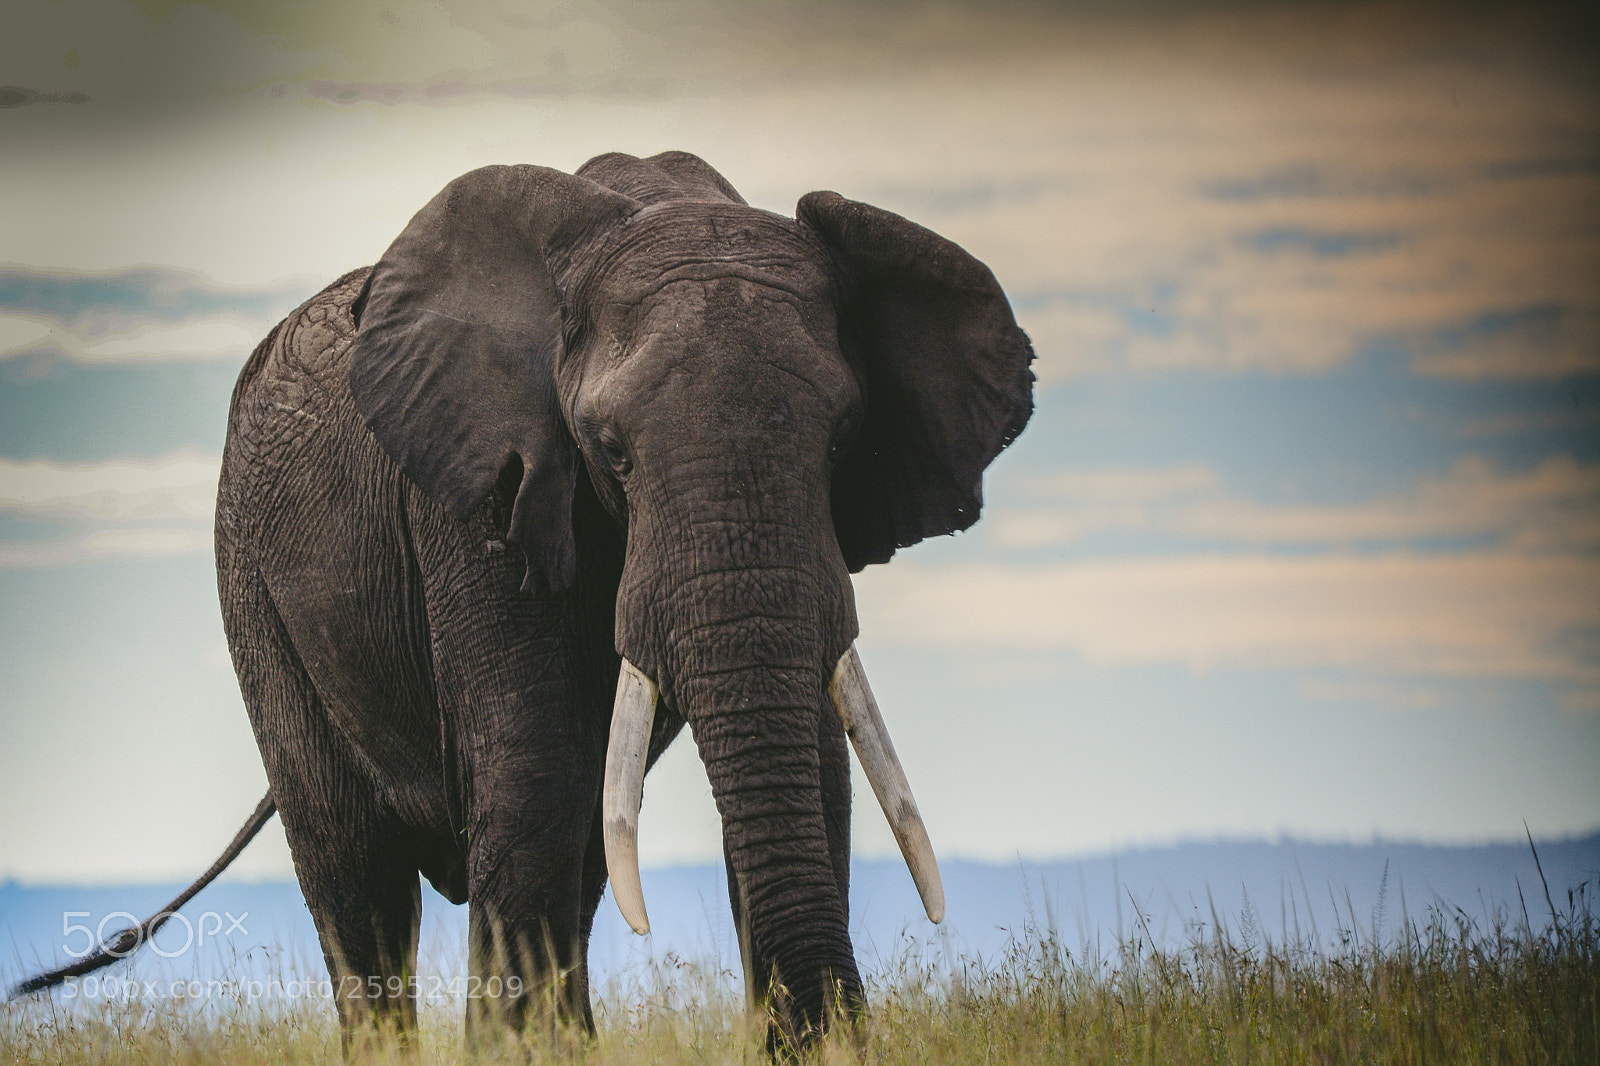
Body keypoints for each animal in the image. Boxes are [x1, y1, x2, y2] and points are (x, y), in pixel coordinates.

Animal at [13, 150, 1033, 1051]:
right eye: (612, 451)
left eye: (843, 440)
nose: (821, 1030)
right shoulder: (481, 494)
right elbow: (535, 766)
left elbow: (822, 762)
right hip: (251, 577)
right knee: (359, 866)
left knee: (576, 847)